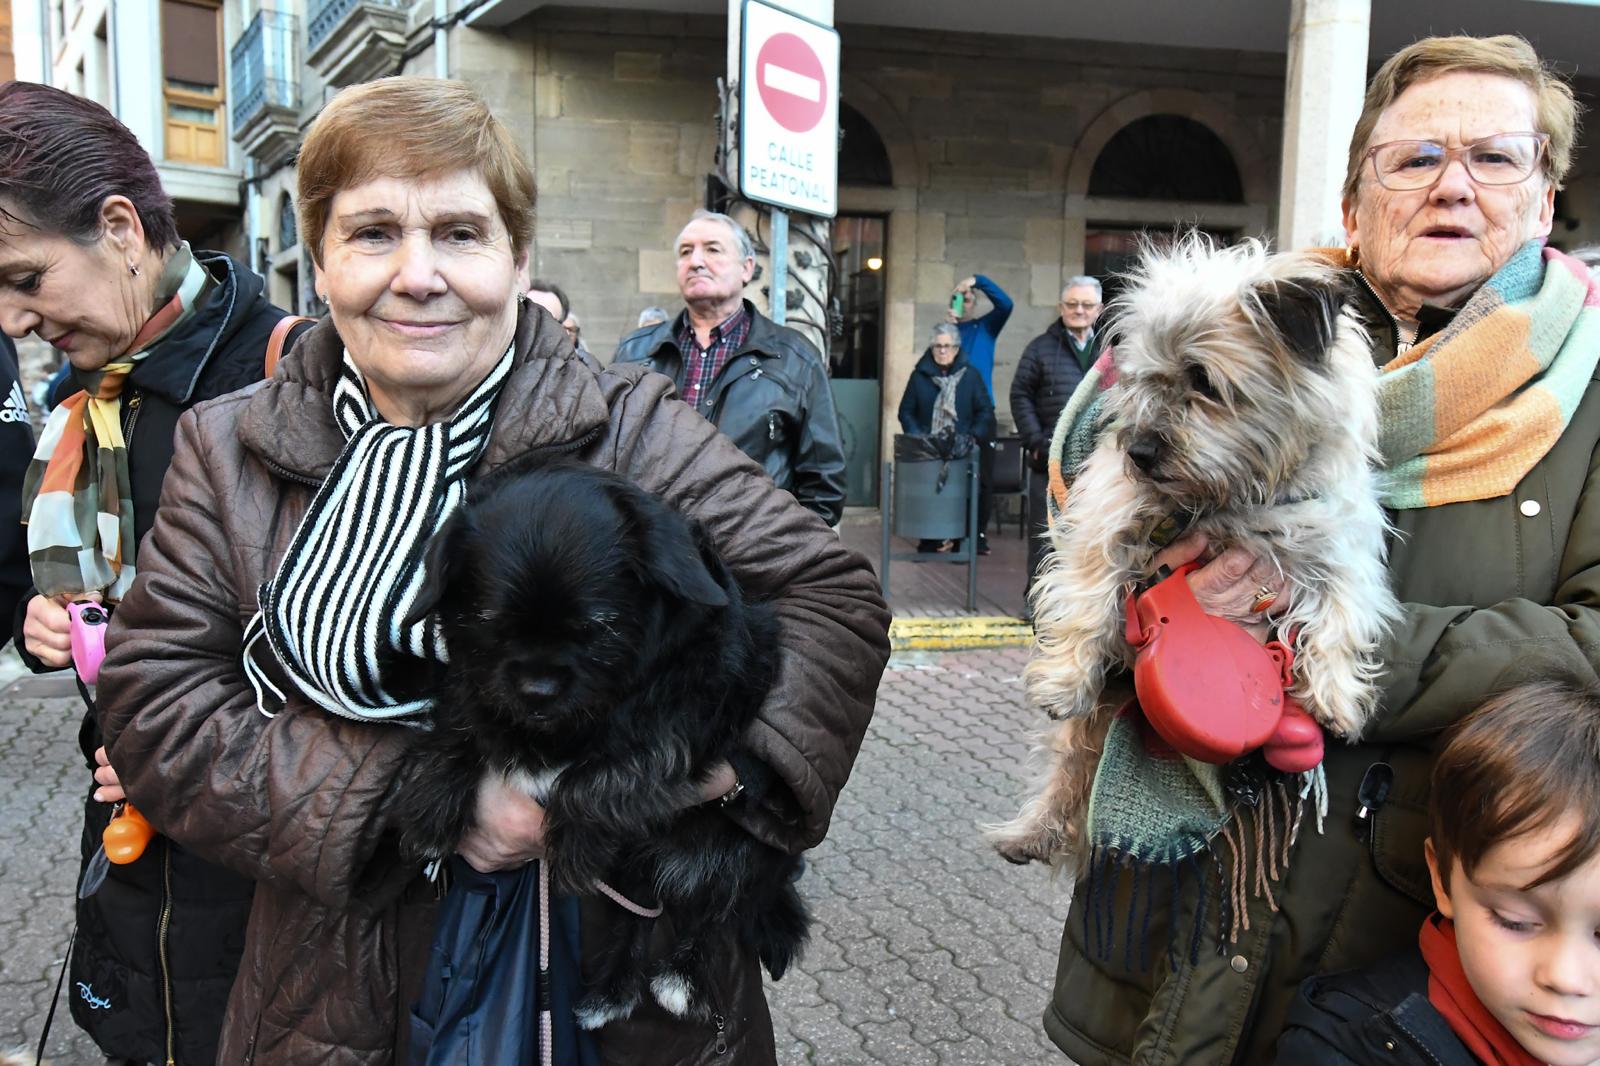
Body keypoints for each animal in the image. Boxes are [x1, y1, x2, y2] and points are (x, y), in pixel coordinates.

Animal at [390, 451, 812, 1024]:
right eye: (490, 622)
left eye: (598, 629)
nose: (538, 689)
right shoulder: (477, 683)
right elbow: (462, 721)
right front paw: (432, 807)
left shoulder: (696, 692)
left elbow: (629, 759)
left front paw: (574, 835)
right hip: (636, 864)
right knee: (639, 914)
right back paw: (610, 993)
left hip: (743, 850)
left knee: (715, 906)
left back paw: (683, 977)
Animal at [985, 238, 1401, 864]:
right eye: (1142, 378)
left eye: (1203, 379)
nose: (1138, 451)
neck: (1231, 495)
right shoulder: (1107, 511)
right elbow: (1087, 595)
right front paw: (1063, 679)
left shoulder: (1340, 545)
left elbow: (1340, 618)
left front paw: (1335, 696)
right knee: (1068, 761)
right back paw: (1030, 831)